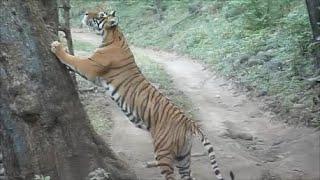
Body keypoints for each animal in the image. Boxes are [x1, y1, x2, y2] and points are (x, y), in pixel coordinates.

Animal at [50, 10, 235, 179]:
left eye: (100, 15)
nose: (86, 13)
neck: (114, 35)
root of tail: (189, 122)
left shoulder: (90, 67)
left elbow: (72, 59)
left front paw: (57, 46)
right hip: (183, 156)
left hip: (163, 152)